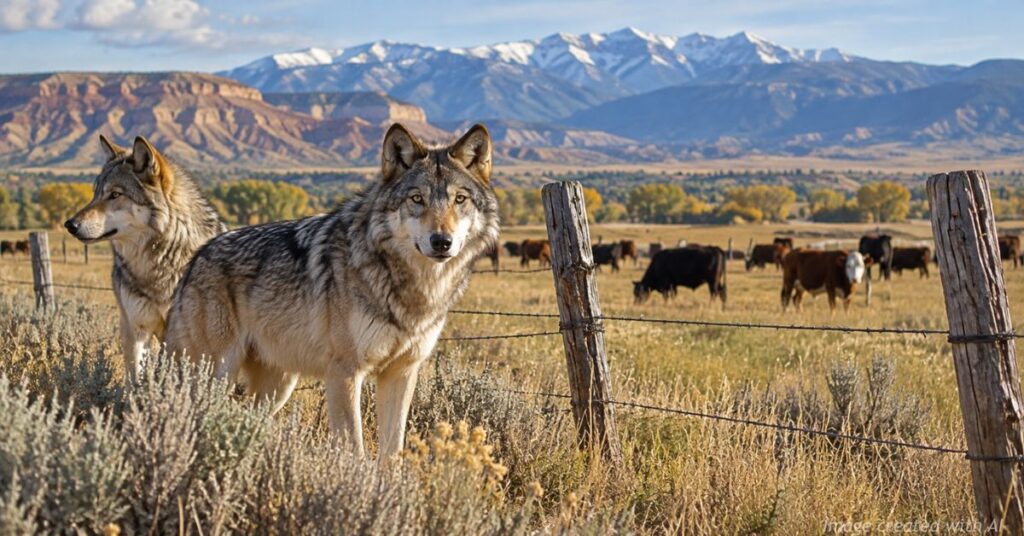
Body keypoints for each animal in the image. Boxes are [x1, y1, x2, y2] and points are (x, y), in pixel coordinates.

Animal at [164, 123, 500, 459]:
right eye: (417, 198)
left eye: (460, 199)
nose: (441, 241)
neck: (408, 285)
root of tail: (196, 257)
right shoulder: (345, 373)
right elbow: (355, 450)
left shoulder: (402, 372)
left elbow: (392, 453)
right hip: (215, 374)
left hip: (278, 385)